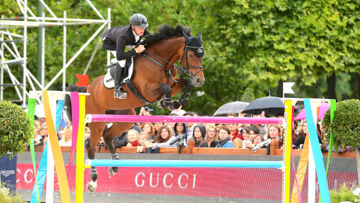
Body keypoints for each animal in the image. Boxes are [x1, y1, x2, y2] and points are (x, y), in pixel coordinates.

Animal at [65, 24, 205, 192]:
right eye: (191, 55)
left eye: (202, 55)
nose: (200, 80)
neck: (160, 62)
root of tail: (88, 90)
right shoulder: (147, 91)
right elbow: (165, 88)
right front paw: (166, 102)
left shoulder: (173, 83)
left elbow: (185, 83)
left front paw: (176, 102)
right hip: (97, 120)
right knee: (91, 146)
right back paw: (93, 181)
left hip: (125, 118)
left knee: (108, 136)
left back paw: (114, 166)